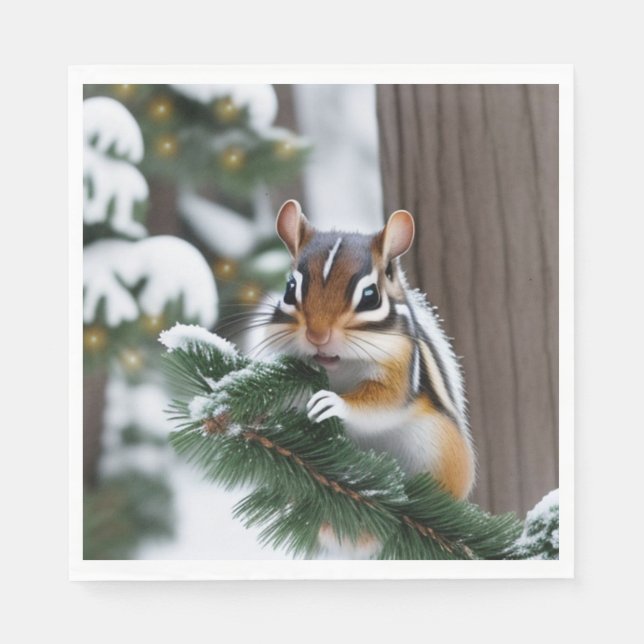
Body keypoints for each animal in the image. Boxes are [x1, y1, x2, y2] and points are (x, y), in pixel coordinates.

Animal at [268, 200, 476, 558]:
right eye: (290, 289)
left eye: (370, 296)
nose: (317, 335)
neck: (339, 368)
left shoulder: (401, 367)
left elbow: (383, 402)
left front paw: (332, 403)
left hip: (440, 448)